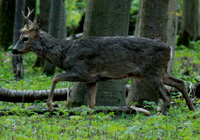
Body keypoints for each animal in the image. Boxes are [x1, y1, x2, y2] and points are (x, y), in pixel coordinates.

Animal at [12, 10, 195, 114]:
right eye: (20, 36)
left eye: (25, 38)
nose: (13, 50)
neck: (65, 53)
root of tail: (170, 48)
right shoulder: (92, 79)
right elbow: (91, 104)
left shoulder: (82, 70)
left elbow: (55, 77)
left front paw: (50, 106)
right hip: (161, 71)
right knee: (180, 82)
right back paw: (192, 111)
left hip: (152, 71)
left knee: (167, 95)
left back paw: (160, 115)